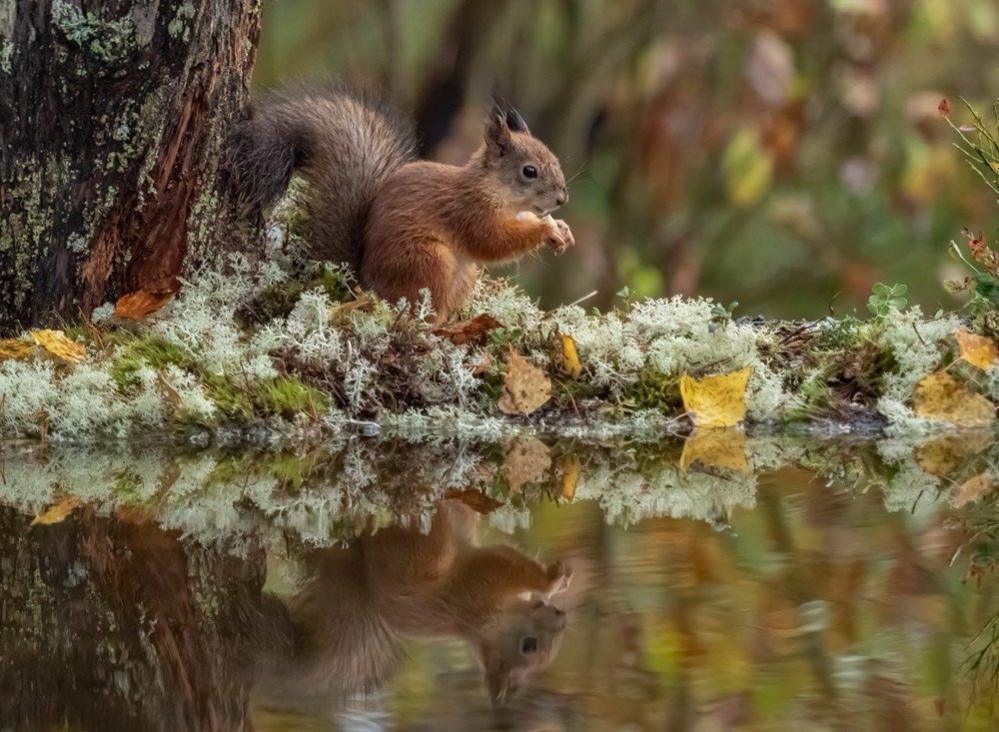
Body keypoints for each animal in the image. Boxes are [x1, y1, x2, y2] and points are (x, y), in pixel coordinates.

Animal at [228, 88, 572, 320]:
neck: (495, 191)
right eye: (530, 171)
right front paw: (545, 230)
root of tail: (367, 285)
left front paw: (561, 229)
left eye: (556, 159)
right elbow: (492, 243)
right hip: (428, 262)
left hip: (461, 276)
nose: (562, 198)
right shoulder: (469, 211)